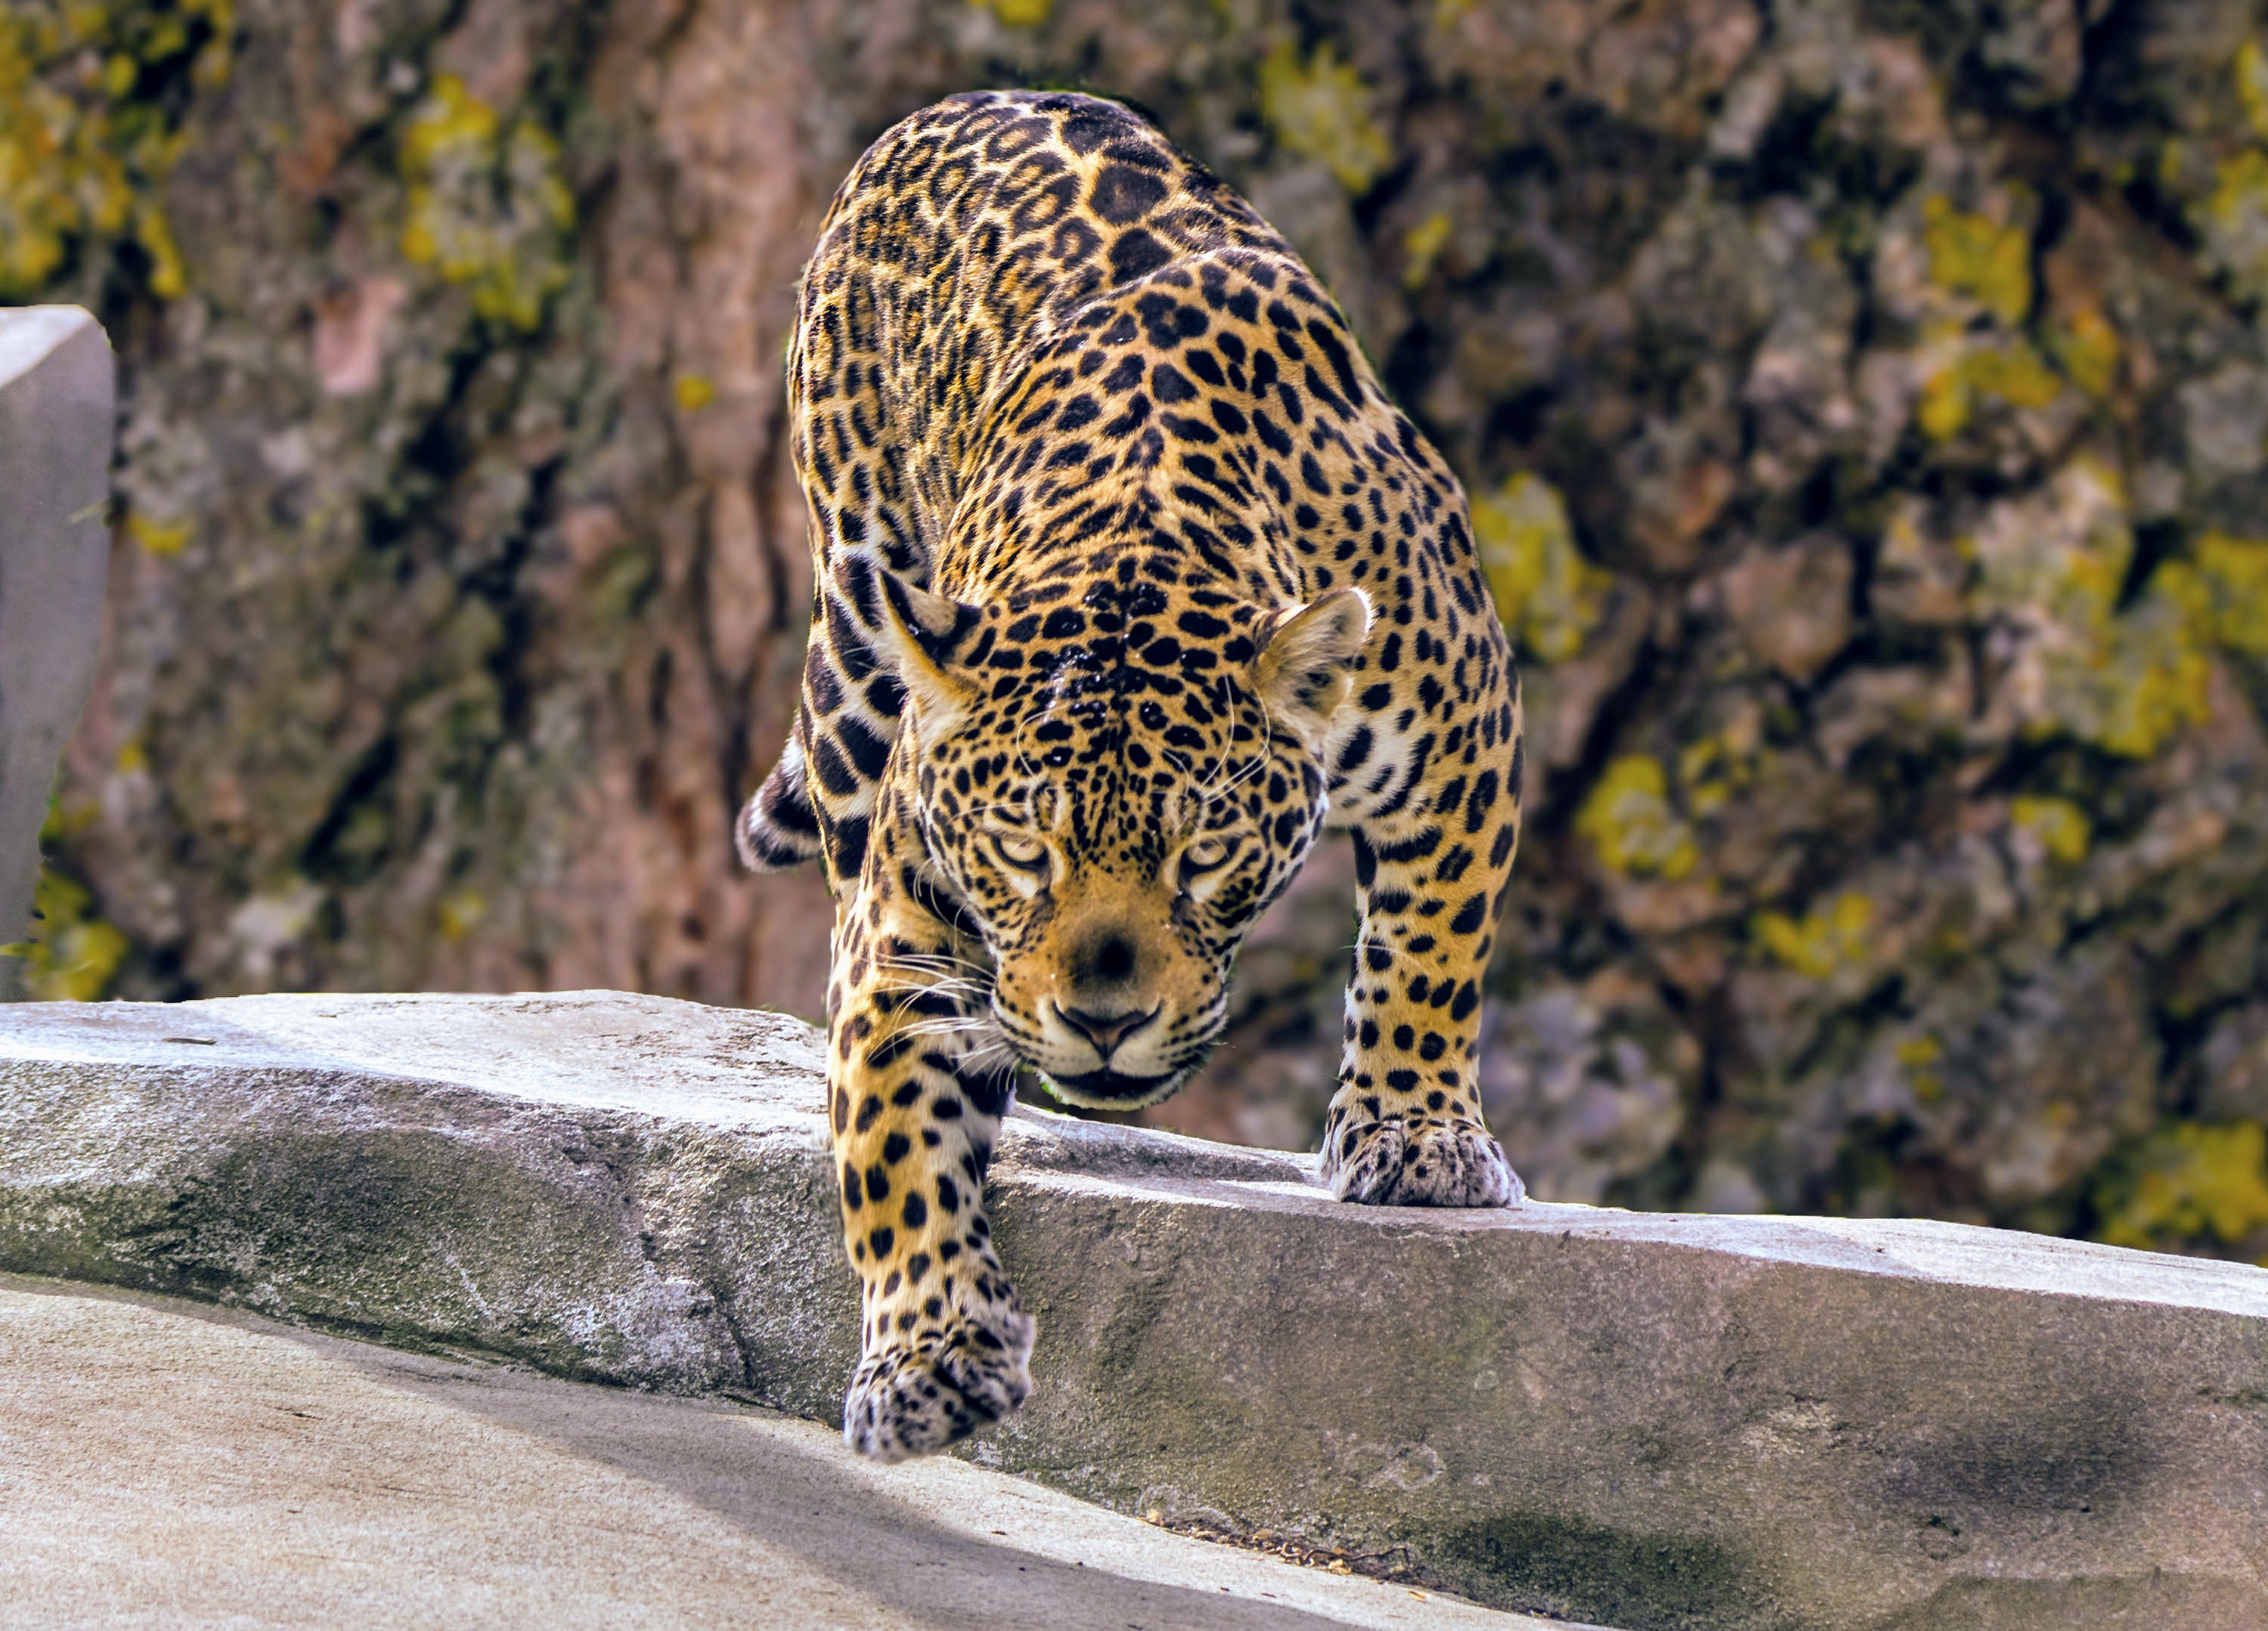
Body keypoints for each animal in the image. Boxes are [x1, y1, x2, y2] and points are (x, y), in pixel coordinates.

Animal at [739, 89, 1524, 1469]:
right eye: (1021, 852)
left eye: (1204, 855)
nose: (1104, 1020)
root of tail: (960, 101)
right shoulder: (906, 920)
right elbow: (891, 1134)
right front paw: (931, 1355)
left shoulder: (1462, 728)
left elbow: (1430, 954)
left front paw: (1417, 1136)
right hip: (858, 603)